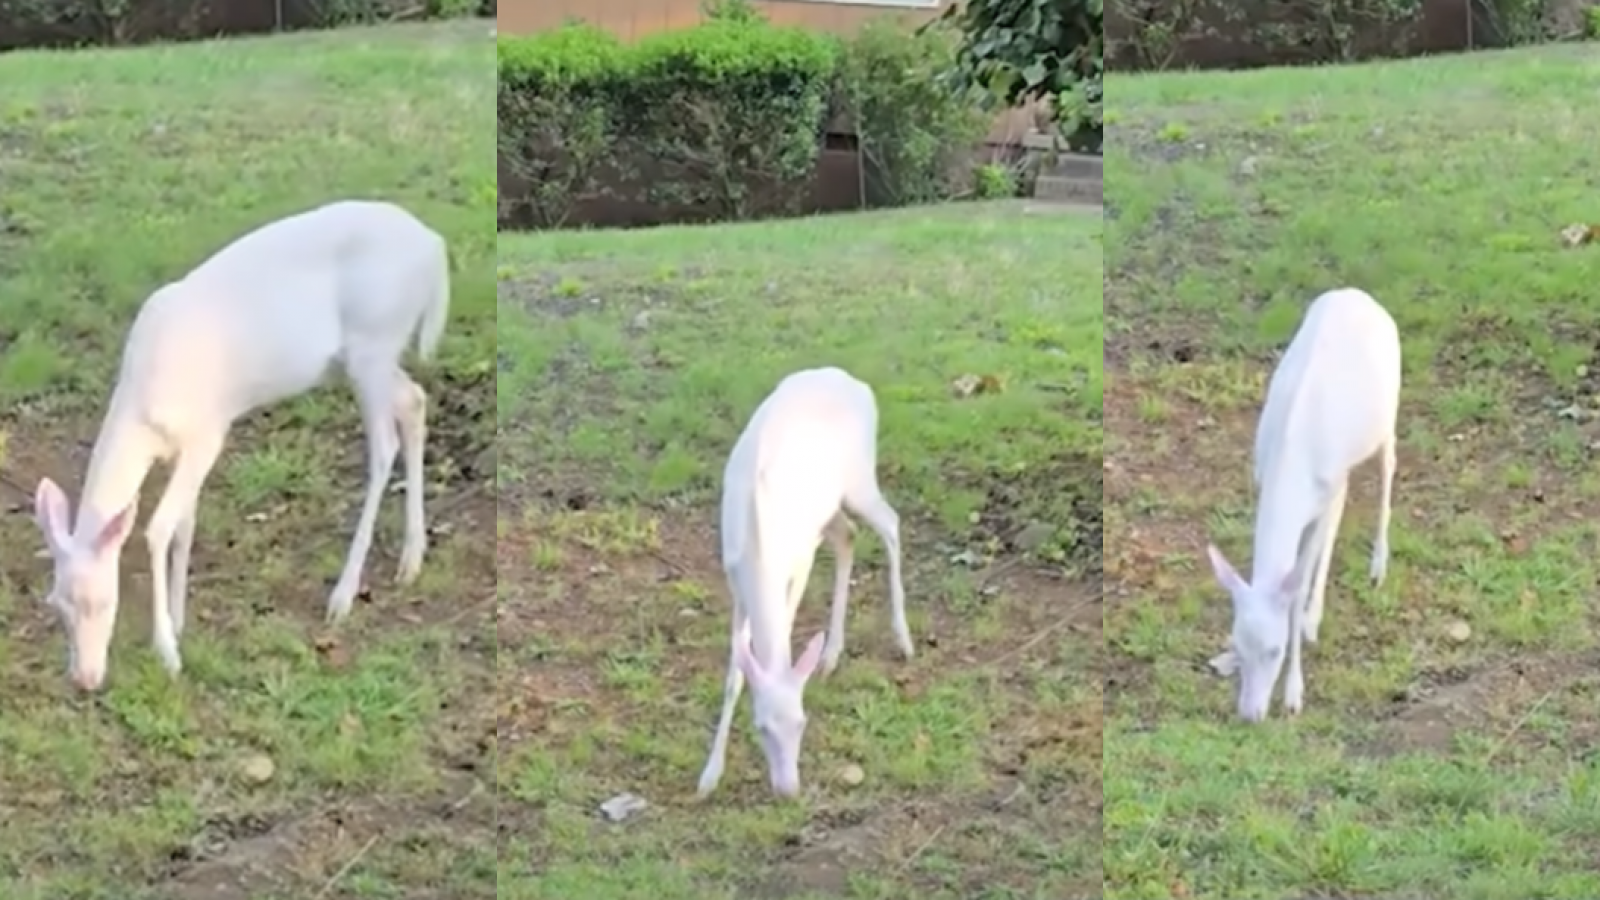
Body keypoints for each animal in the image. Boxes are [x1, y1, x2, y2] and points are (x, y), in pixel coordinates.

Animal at [31, 199, 449, 692]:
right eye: (56, 603)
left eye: (101, 602)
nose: (85, 679)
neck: (144, 410)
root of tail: (435, 247)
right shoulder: (185, 450)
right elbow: (184, 525)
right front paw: (179, 621)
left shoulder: (209, 434)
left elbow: (159, 528)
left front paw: (167, 651)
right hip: (363, 360)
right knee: (414, 401)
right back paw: (411, 560)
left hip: (375, 344)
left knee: (384, 444)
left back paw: (344, 594)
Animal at [696, 366, 911, 798]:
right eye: (761, 727)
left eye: (802, 722)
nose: (788, 789)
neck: (760, 550)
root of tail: (854, 381)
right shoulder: (734, 579)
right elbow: (735, 674)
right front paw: (709, 775)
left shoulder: (800, 561)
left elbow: (785, 627)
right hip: (829, 507)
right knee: (848, 534)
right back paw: (830, 655)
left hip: (859, 479)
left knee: (890, 523)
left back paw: (903, 639)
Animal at [1205, 288, 1401, 722]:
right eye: (1236, 644)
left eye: (1274, 650)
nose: (1250, 715)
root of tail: (1360, 295)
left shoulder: (1323, 498)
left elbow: (1296, 589)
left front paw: (1294, 695)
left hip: (1390, 410)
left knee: (1388, 467)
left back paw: (1377, 568)